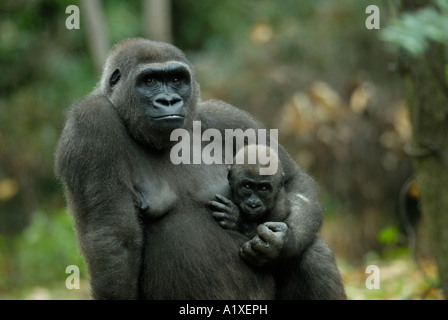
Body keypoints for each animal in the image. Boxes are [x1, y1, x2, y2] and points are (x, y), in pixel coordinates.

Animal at [55, 38, 344, 300]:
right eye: (149, 81)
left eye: (176, 79)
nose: (169, 100)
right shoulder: (90, 122)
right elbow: (114, 240)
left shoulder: (226, 117)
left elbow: (294, 181)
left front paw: (281, 243)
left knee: (311, 251)